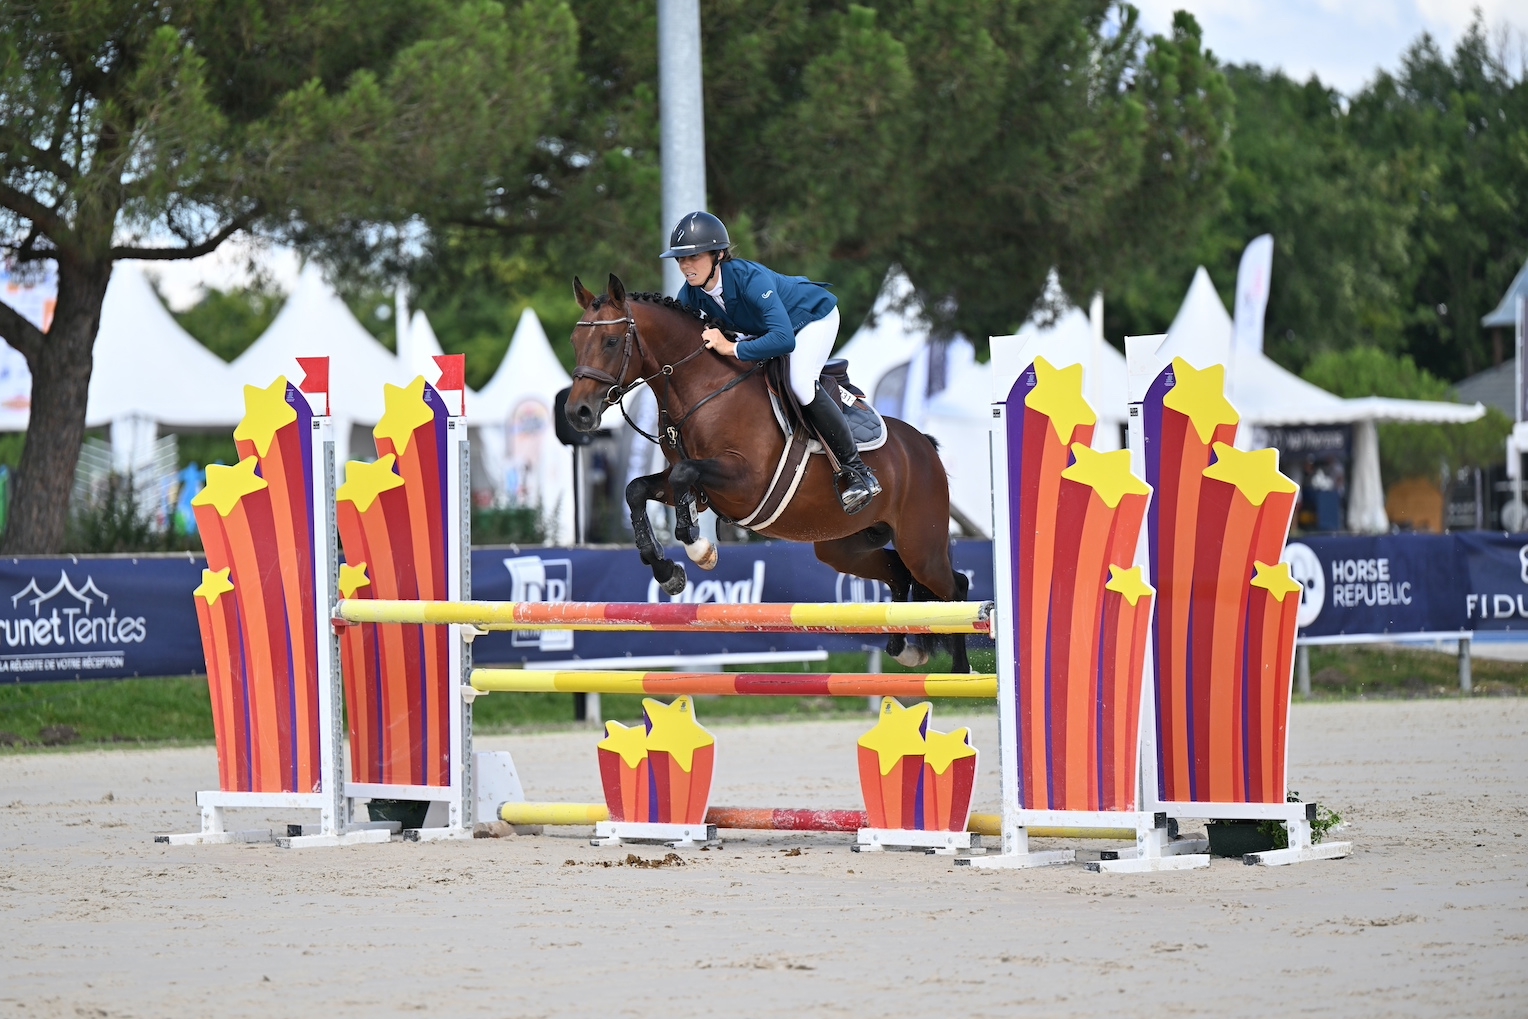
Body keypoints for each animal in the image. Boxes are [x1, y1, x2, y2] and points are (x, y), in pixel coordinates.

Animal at [568, 270, 971, 672]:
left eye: (610, 341)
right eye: (575, 341)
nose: (577, 414)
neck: (704, 387)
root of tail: (923, 446)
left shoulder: (745, 483)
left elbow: (684, 474)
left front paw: (699, 548)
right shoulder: (690, 486)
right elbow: (637, 489)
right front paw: (668, 573)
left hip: (922, 545)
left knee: (955, 588)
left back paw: (961, 671)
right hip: (844, 545)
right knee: (899, 573)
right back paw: (906, 648)